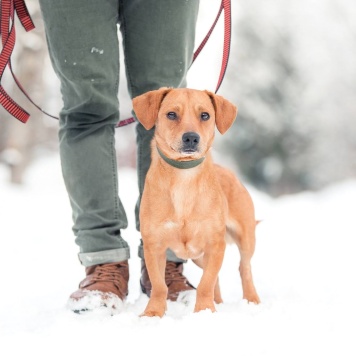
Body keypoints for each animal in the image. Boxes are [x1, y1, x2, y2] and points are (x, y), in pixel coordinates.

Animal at [132, 87, 260, 318]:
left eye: (205, 115)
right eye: (171, 114)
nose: (191, 138)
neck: (184, 177)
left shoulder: (215, 244)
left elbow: (205, 283)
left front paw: (204, 310)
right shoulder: (154, 245)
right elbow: (159, 285)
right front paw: (153, 313)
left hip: (245, 238)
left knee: (243, 268)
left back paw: (251, 300)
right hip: (198, 256)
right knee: (217, 277)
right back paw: (218, 302)